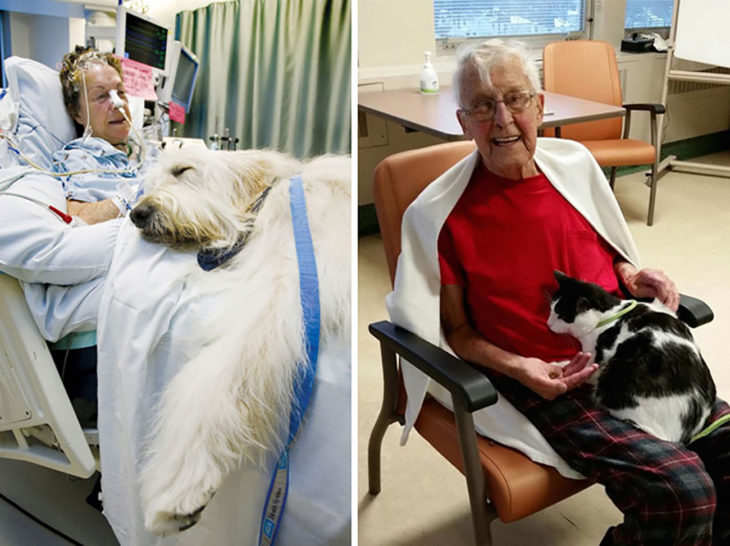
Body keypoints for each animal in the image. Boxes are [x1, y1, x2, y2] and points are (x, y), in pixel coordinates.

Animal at [129, 148, 350, 536]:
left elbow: (213, 379)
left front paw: (180, 485)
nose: (136, 213)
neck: (266, 202)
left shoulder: (283, 289)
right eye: (151, 183)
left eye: (183, 169)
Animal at [544, 268, 712, 442]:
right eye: (551, 309)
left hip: (616, 376)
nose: (548, 324)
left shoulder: (597, 357)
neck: (613, 315)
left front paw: (558, 365)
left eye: (561, 316)